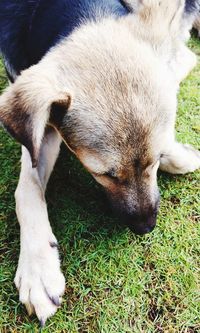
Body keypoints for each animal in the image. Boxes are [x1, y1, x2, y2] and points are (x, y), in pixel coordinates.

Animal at [0, 0, 200, 326]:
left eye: (155, 160)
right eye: (104, 174)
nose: (146, 228)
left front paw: (178, 153)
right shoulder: (41, 128)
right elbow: (26, 189)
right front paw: (38, 268)